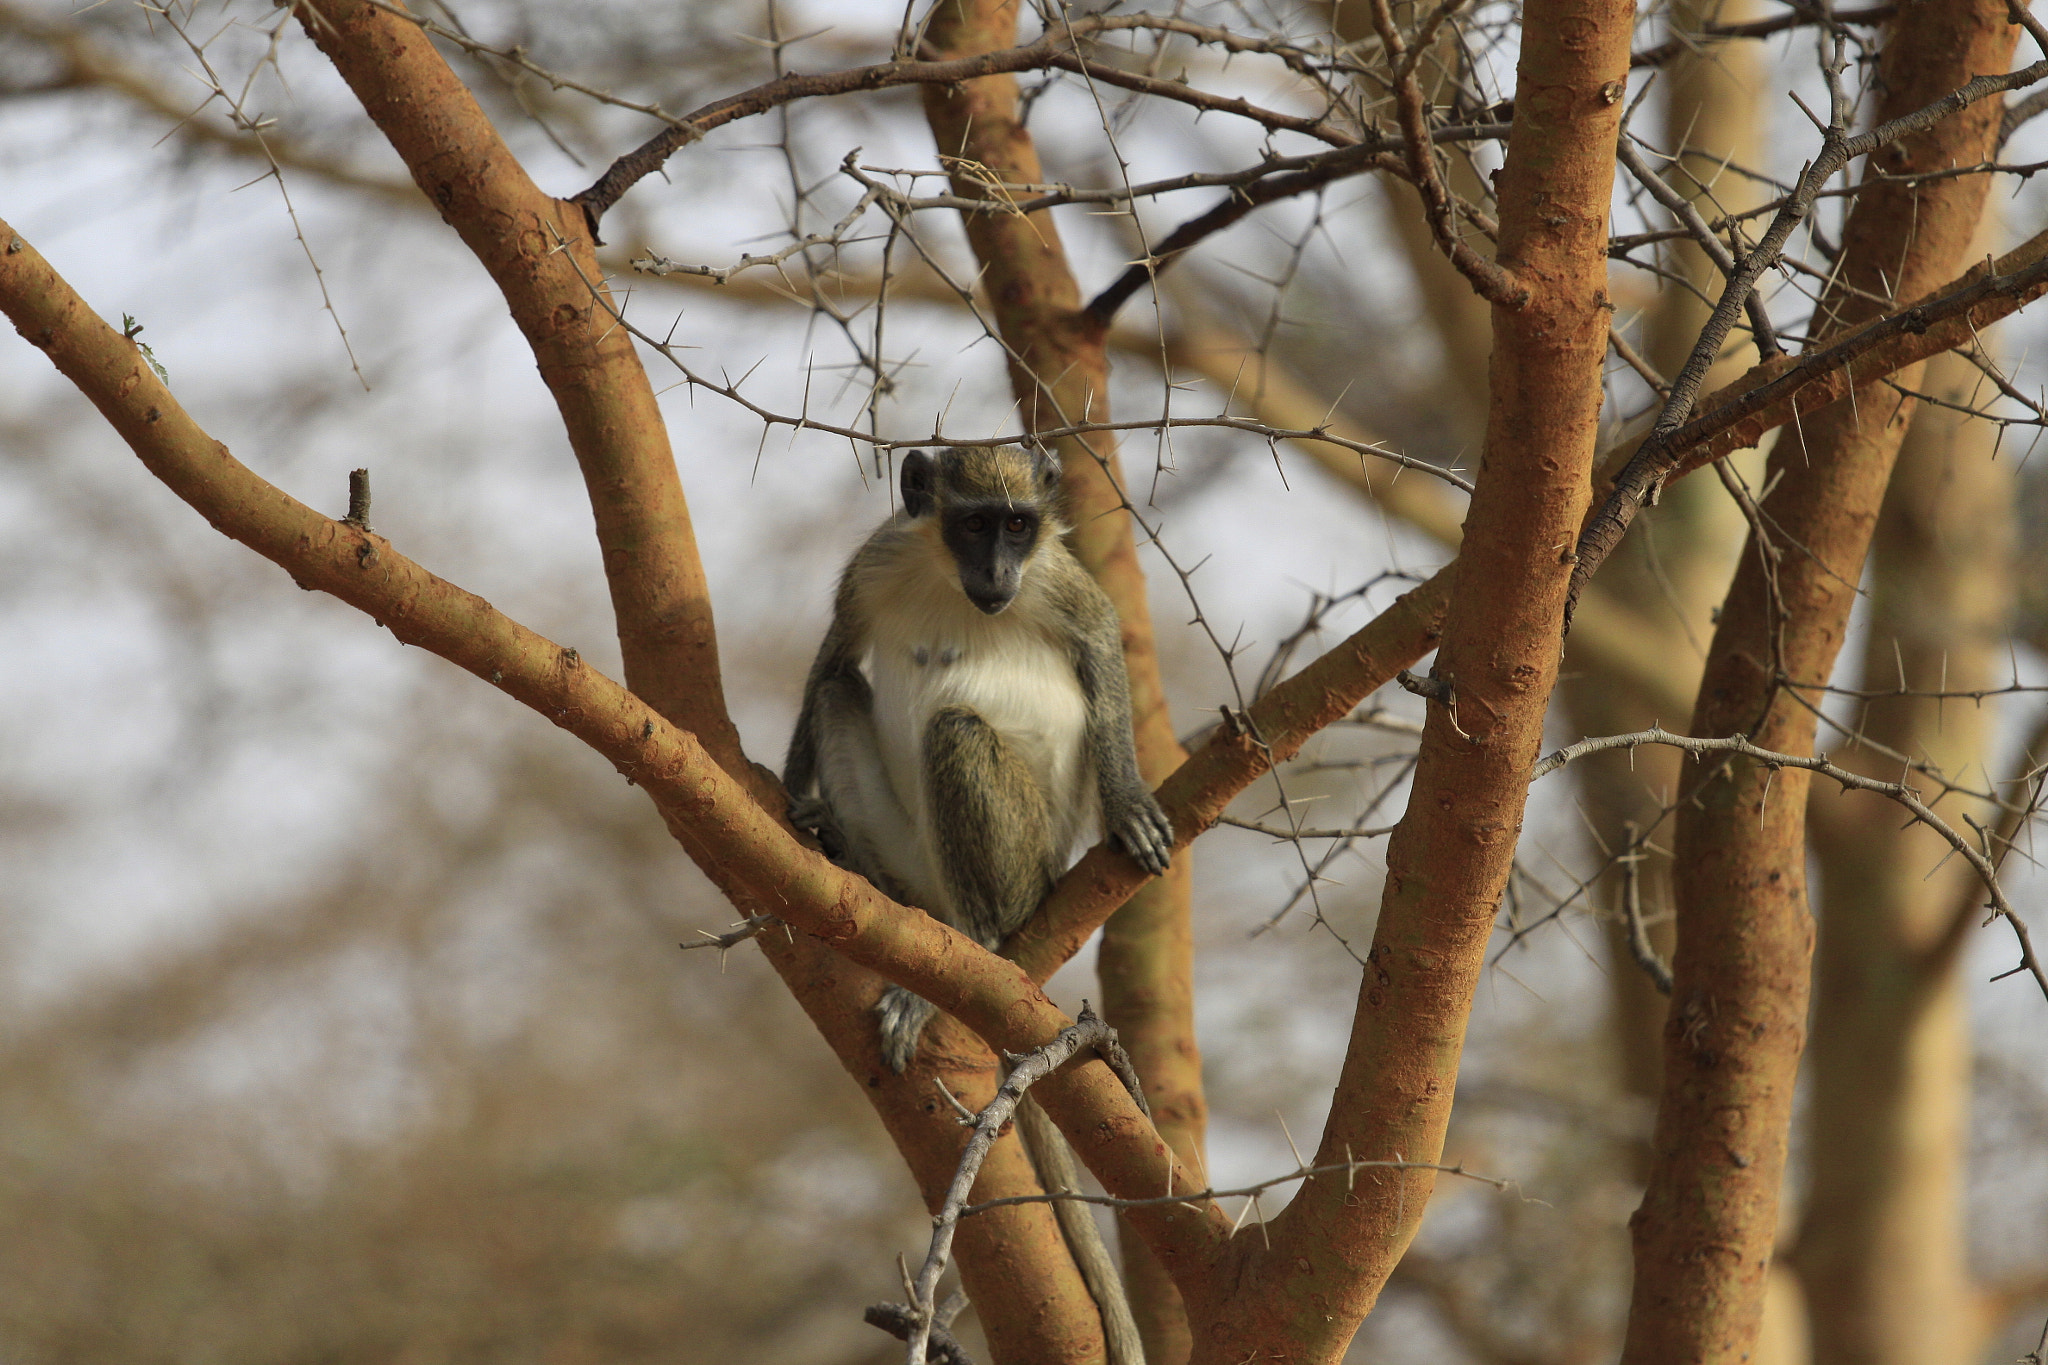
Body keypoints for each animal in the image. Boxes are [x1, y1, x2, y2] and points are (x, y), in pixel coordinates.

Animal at [782, 444, 1171, 1358]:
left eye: (1018, 525)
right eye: (972, 524)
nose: (996, 572)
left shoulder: (1060, 577)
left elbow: (1102, 643)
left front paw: (1125, 794)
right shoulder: (877, 561)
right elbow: (832, 658)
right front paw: (789, 792)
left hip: (1023, 861)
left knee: (954, 731)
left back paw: (975, 951)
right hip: (909, 856)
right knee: (843, 692)